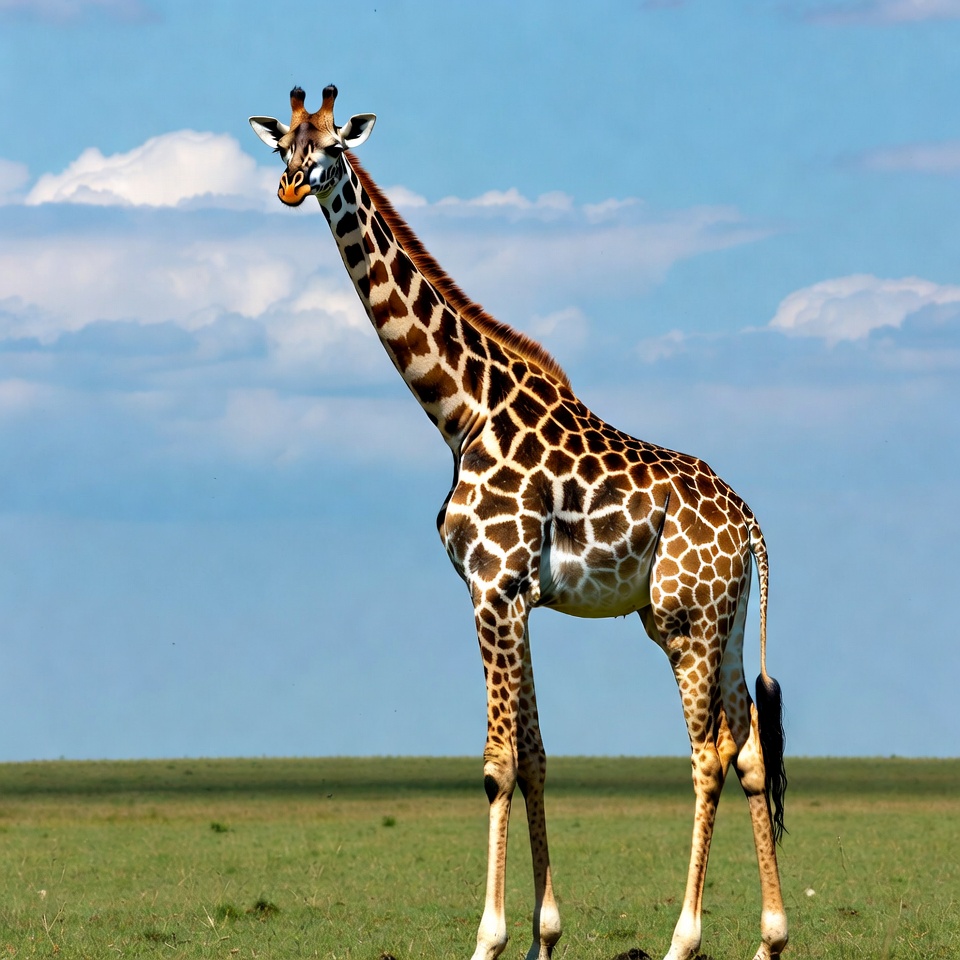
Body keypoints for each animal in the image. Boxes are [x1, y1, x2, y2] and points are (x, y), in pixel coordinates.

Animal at [249, 85, 788, 960]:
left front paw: (489, 938)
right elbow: (534, 756)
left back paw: (684, 938)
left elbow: (497, 763)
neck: (460, 412)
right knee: (748, 751)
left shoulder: (491, 587)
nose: (293, 188)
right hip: (728, 617)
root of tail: (752, 526)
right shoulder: (515, 595)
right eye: (282, 146)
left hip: (685, 620)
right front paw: (544, 935)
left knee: (709, 754)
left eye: (332, 145)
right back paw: (771, 937)